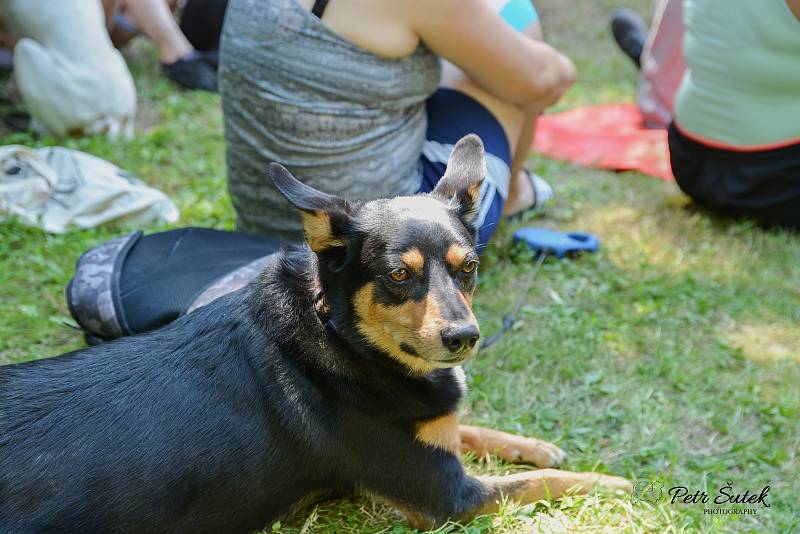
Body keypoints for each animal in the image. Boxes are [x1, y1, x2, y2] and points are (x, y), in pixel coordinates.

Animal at [0, 136, 632, 532]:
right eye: (398, 276)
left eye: (469, 267)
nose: (463, 337)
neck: (345, 338)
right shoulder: (448, 498)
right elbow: (545, 483)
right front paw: (612, 481)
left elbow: (472, 427)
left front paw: (533, 443)